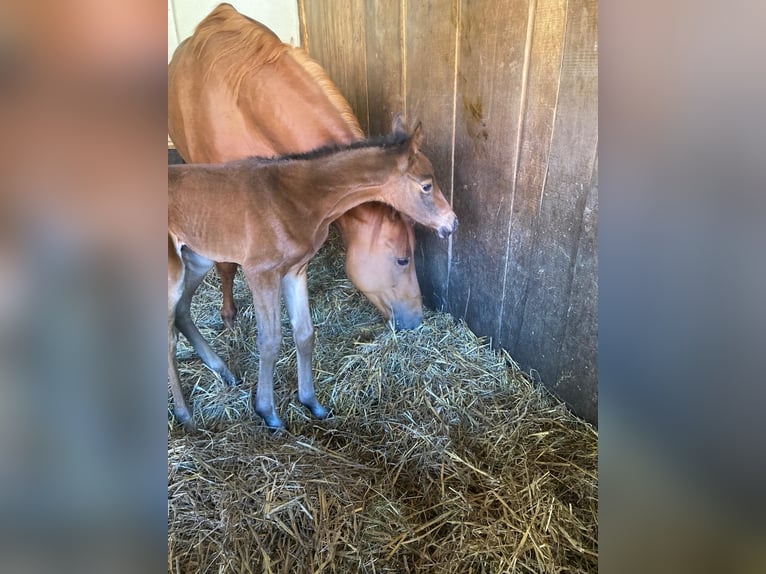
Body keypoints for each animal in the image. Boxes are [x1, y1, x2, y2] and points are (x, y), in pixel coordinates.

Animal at [170, 118, 460, 432]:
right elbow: (270, 341)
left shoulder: (296, 270)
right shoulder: (261, 273)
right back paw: (185, 414)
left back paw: (223, 372)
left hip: (197, 259)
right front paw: (268, 413)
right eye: (427, 185)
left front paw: (312, 403)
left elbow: (305, 333)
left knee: (182, 311)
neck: (293, 197)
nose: (452, 223)